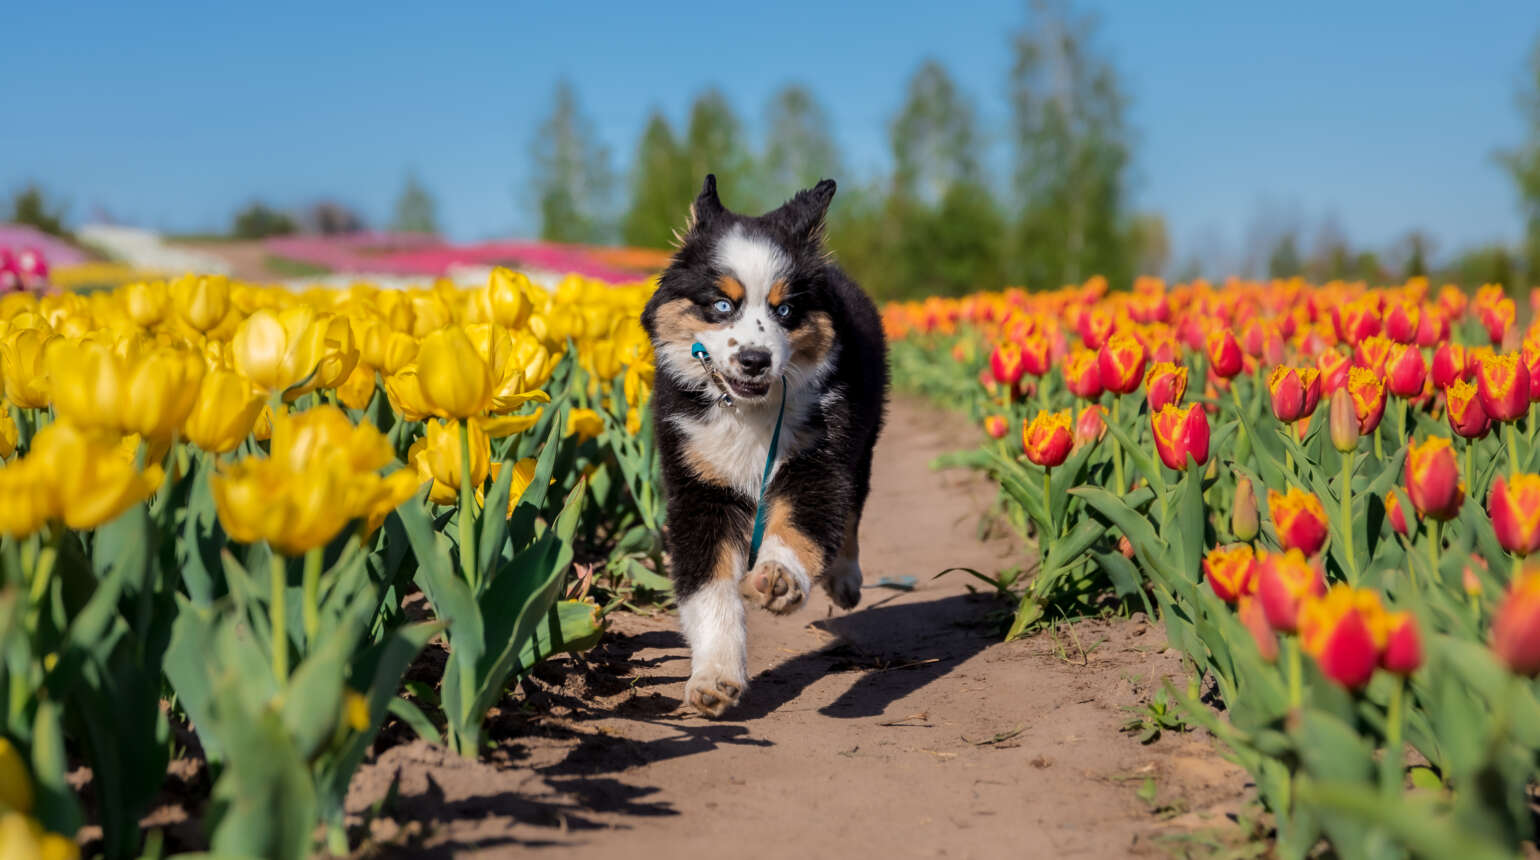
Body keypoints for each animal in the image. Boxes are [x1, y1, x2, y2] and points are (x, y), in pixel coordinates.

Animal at [640, 175, 893, 721]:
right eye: (721, 305)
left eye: (785, 309)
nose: (755, 360)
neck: (748, 412)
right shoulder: (698, 485)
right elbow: (708, 589)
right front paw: (714, 678)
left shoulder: (818, 457)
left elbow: (802, 524)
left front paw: (780, 578)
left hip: (863, 438)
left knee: (852, 512)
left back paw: (844, 580)